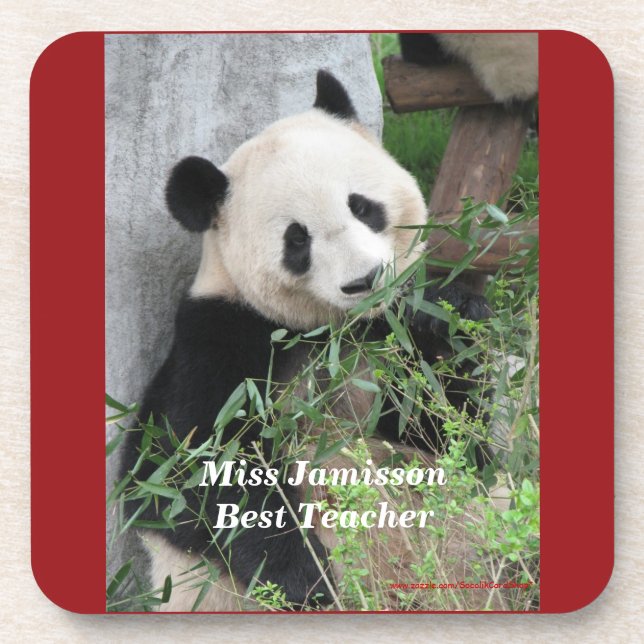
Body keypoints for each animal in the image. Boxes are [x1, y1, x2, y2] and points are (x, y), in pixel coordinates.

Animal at [118, 70, 490, 611]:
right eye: (297, 240)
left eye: (362, 206)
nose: (365, 281)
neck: (333, 329)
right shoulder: (220, 340)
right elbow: (183, 474)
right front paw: (307, 580)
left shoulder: (382, 345)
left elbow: (454, 441)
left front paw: (446, 316)